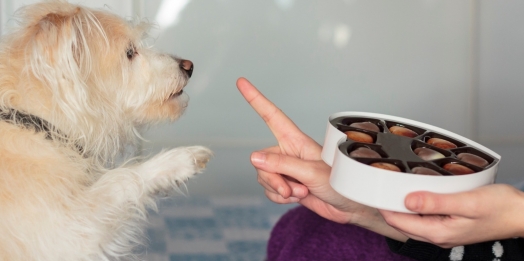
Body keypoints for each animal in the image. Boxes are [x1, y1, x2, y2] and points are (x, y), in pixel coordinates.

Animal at [0, 1, 213, 258]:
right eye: (130, 52)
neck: (37, 122)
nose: (188, 66)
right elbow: (119, 179)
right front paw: (179, 160)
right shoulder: (69, 234)